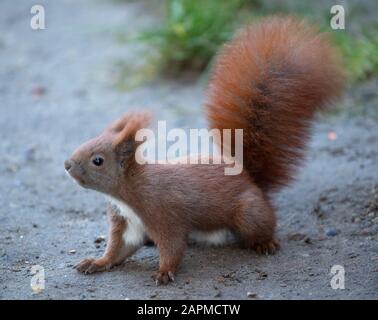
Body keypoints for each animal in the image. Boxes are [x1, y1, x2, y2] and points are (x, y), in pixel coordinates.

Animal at [64, 16, 342, 284]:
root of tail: (248, 177)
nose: (67, 165)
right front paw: (96, 262)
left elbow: (173, 246)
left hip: (248, 213)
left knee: (262, 224)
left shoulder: (162, 213)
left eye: (97, 160)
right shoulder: (125, 221)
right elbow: (117, 250)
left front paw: (164, 271)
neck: (127, 193)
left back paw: (265, 243)